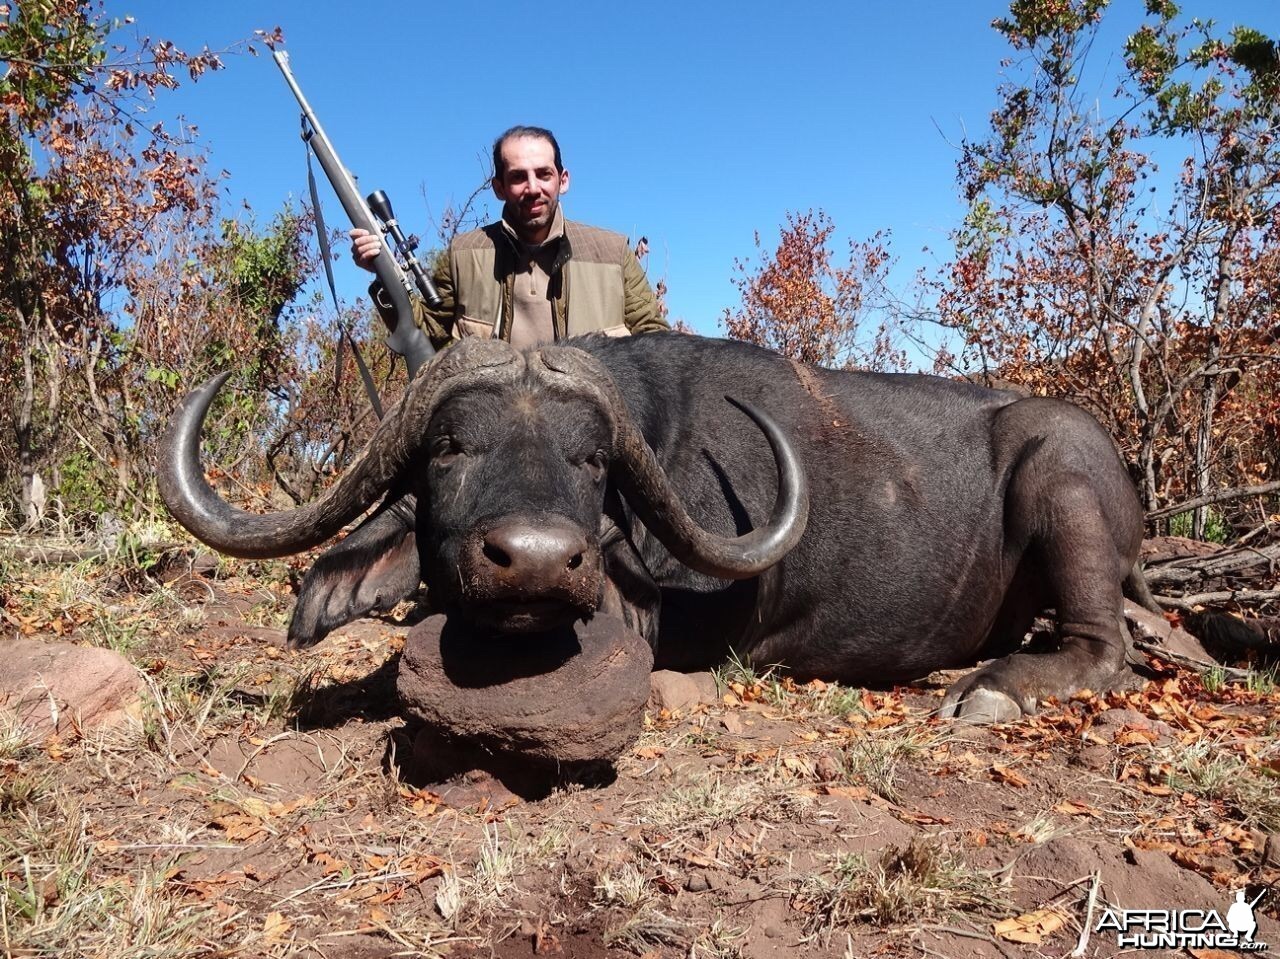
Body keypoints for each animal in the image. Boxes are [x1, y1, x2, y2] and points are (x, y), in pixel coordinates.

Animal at [162, 332, 1162, 722]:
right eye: (449, 445)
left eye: (592, 459)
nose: (536, 562)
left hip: (1060, 474)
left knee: (1100, 644)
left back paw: (991, 689)